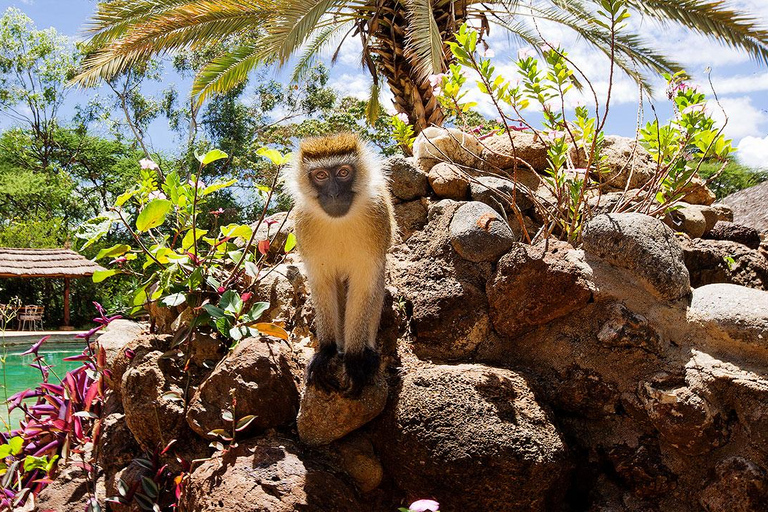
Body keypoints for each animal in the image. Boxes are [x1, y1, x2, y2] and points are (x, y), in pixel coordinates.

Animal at [288, 133, 396, 396]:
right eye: (321, 175)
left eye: (343, 172)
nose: (334, 194)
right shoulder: (303, 224)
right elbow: (322, 284)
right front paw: (326, 351)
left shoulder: (378, 217)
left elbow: (364, 287)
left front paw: (354, 358)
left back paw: (367, 351)